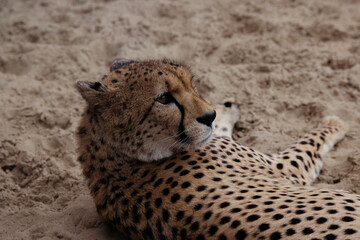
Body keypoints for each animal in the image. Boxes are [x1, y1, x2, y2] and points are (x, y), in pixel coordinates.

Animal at [74, 58, 358, 240]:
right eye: (163, 98)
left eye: (191, 84)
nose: (208, 115)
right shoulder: (284, 169)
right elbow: (309, 143)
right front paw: (334, 123)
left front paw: (226, 108)